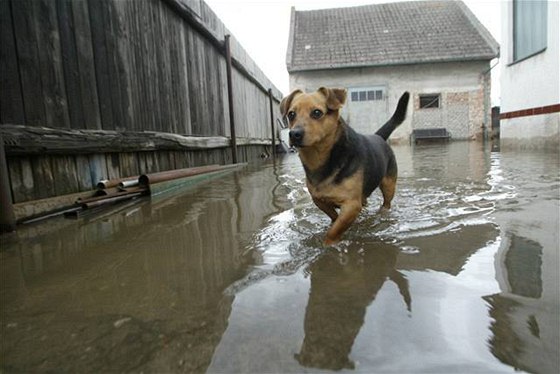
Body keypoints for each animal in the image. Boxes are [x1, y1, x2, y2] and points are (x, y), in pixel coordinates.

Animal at [278, 87, 406, 245]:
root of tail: (379, 136)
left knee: (386, 203)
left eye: (317, 113)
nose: (294, 134)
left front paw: (328, 244)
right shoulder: (318, 200)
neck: (321, 159)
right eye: (291, 114)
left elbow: (334, 230)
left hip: (389, 186)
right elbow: (334, 217)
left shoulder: (351, 205)